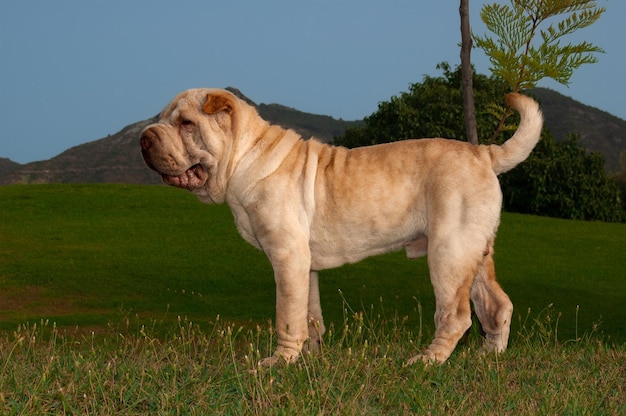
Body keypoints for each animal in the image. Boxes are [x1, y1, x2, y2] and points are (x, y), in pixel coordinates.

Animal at [139, 88, 540, 364]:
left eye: (186, 123)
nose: (144, 137)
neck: (244, 156)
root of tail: (482, 152)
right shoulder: (304, 265)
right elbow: (309, 314)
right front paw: (310, 358)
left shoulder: (286, 257)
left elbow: (287, 316)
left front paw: (279, 362)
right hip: (474, 252)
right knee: (497, 305)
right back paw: (489, 358)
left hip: (449, 252)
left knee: (456, 316)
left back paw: (427, 362)